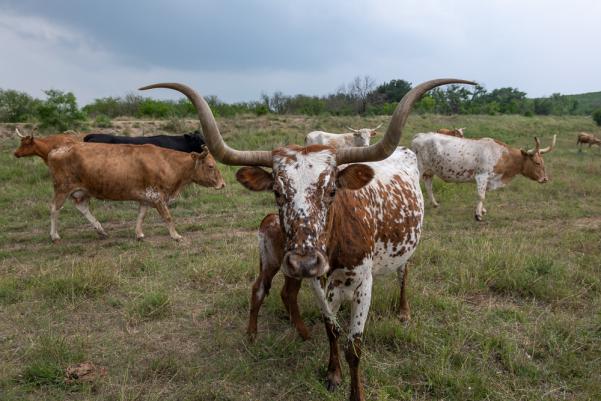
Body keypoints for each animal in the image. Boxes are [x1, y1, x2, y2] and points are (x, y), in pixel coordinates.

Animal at [46, 141, 225, 241]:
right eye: (211, 166)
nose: (222, 184)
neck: (168, 163)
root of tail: (57, 149)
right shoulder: (157, 196)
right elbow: (167, 217)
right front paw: (175, 235)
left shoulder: (146, 197)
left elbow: (141, 215)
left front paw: (139, 234)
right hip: (62, 188)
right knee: (54, 208)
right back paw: (54, 236)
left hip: (82, 191)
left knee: (82, 207)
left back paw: (101, 230)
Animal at [142, 76, 478, 398]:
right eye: (277, 192)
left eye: (331, 190)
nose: (303, 261)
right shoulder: (318, 282)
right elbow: (332, 329)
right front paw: (333, 373)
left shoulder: (363, 282)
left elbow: (354, 346)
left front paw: (355, 390)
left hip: (405, 249)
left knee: (403, 274)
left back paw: (404, 311)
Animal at [410, 134, 556, 222]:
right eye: (537, 163)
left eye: (543, 162)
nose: (545, 179)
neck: (502, 155)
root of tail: (419, 136)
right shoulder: (482, 176)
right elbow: (481, 195)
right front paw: (478, 215)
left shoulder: (488, 179)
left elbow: (484, 194)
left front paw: (482, 210)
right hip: (419, 168)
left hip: (429, 171)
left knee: (428, 185)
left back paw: (434, 203)